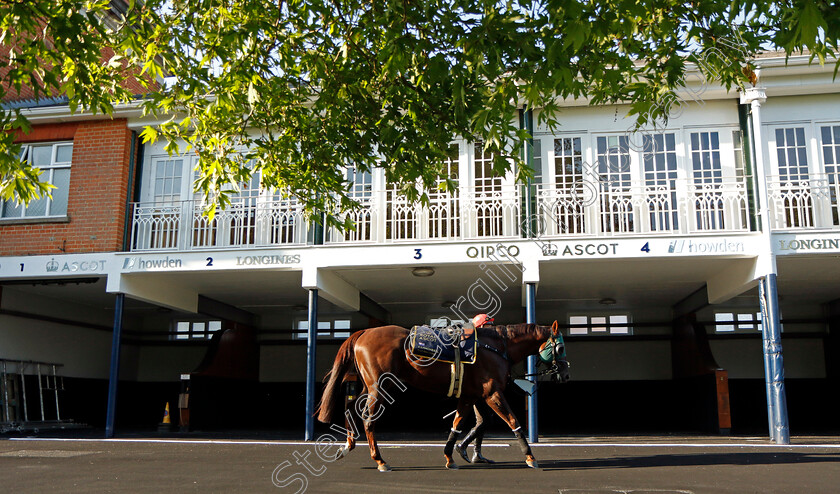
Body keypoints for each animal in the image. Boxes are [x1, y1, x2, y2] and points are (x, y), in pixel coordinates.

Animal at [316, 324, 572, 470]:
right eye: (560, 348)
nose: (566, 374)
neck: (495, 347)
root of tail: (364, 333)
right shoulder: (492, 393)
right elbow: (513, 421)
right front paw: (530, 456)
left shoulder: (469, 396)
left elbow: (458, 424)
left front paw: (451, 456)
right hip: (379, 387)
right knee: (369, 420)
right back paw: (379, 460)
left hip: (370, 386)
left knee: (351, 409)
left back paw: (347, 445)